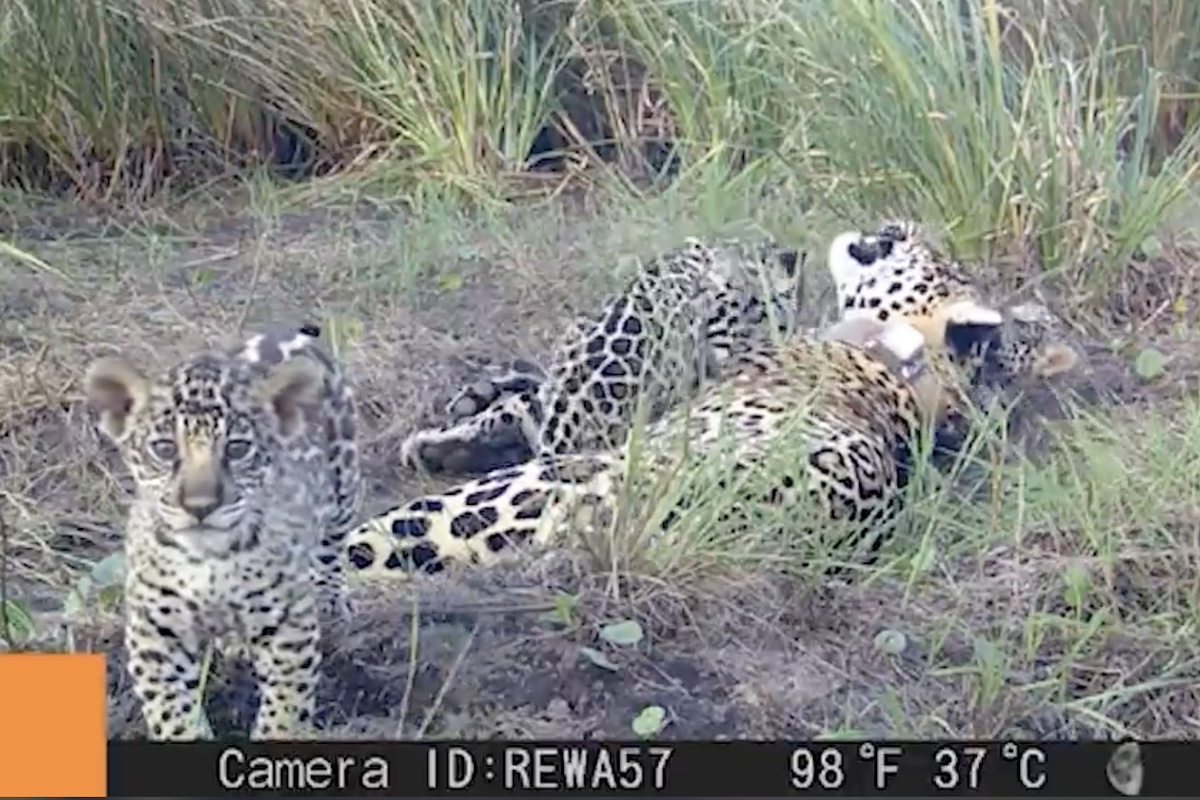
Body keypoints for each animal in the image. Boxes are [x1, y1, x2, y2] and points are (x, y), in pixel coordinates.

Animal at [83, 324, 361, 741]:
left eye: (238, 448)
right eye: (164, 449)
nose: (200, 505)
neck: (209, 560)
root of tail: (281, 331)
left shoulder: (289, 632)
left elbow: (285, 710)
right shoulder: (154, 634)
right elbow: (172, 712)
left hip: (345, 485)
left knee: (331, 548)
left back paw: (331, 601)